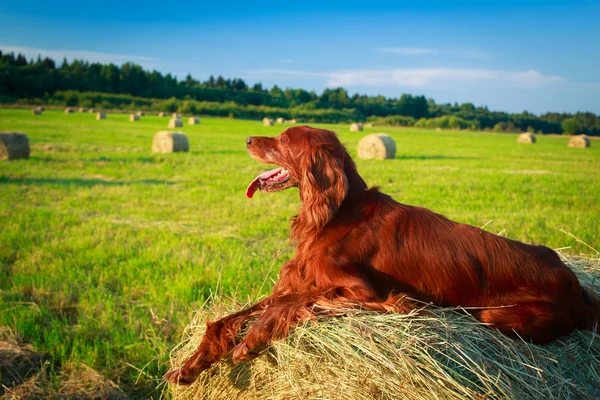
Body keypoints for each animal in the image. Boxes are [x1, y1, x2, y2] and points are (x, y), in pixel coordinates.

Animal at [165, 125, 600, 384]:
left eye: (285, 140)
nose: (247, 140)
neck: (337, 211)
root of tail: (577, 284)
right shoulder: (298, 281)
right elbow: (225, 319)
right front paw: (191, 364)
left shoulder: (368, 294)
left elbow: (292, 305)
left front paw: (252, 338)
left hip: (499, 315)